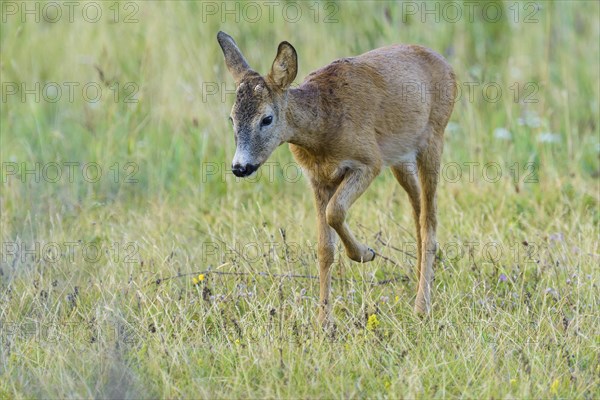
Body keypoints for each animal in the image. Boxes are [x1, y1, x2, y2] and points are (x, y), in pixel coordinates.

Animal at [218, 31, 458, 324]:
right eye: (231, 119)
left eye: (267, 118)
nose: (240, 167)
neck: (323, 125)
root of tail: (446, 65)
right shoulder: (318, 179)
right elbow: (324, 249)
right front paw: (323, 322)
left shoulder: (368, 161)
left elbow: (335, 212)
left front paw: (365, 254)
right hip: (401, 157)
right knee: (417, 206)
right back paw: (418, 283)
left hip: (434, 137)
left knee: (429, 219)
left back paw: (422, 307)